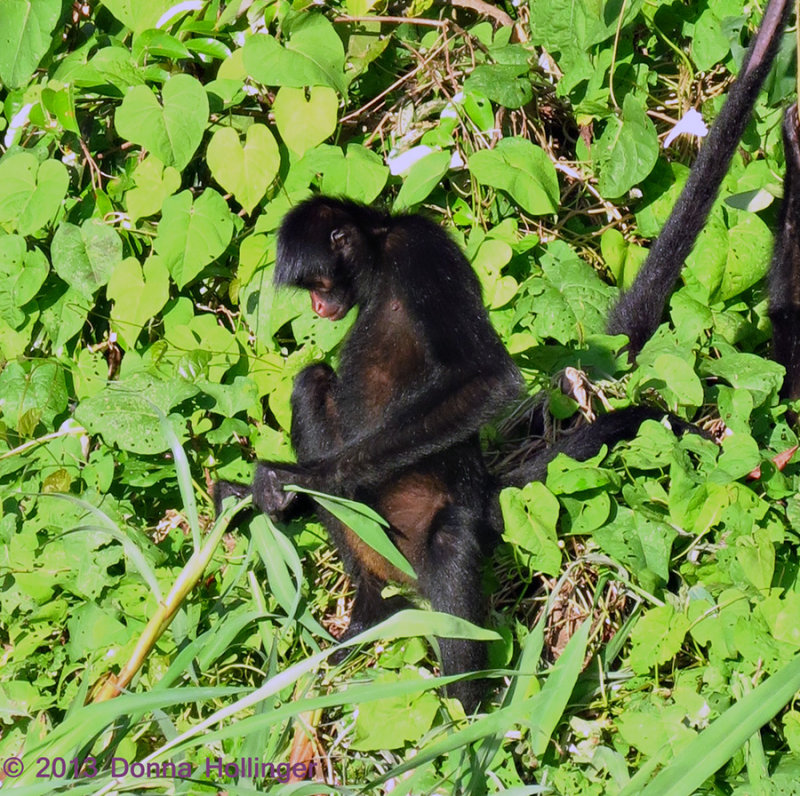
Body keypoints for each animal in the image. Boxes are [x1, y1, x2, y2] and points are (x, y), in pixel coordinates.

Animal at [217, 0, 792, 712]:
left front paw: (304, 479)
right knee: (312, 382)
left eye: (322, 283)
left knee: (450, 541)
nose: (323, 307)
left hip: (437, 515)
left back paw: (466, 712)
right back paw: (368, 614)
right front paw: (277, 494)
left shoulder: (423, 251)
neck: (380, 255)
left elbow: (484, 381)